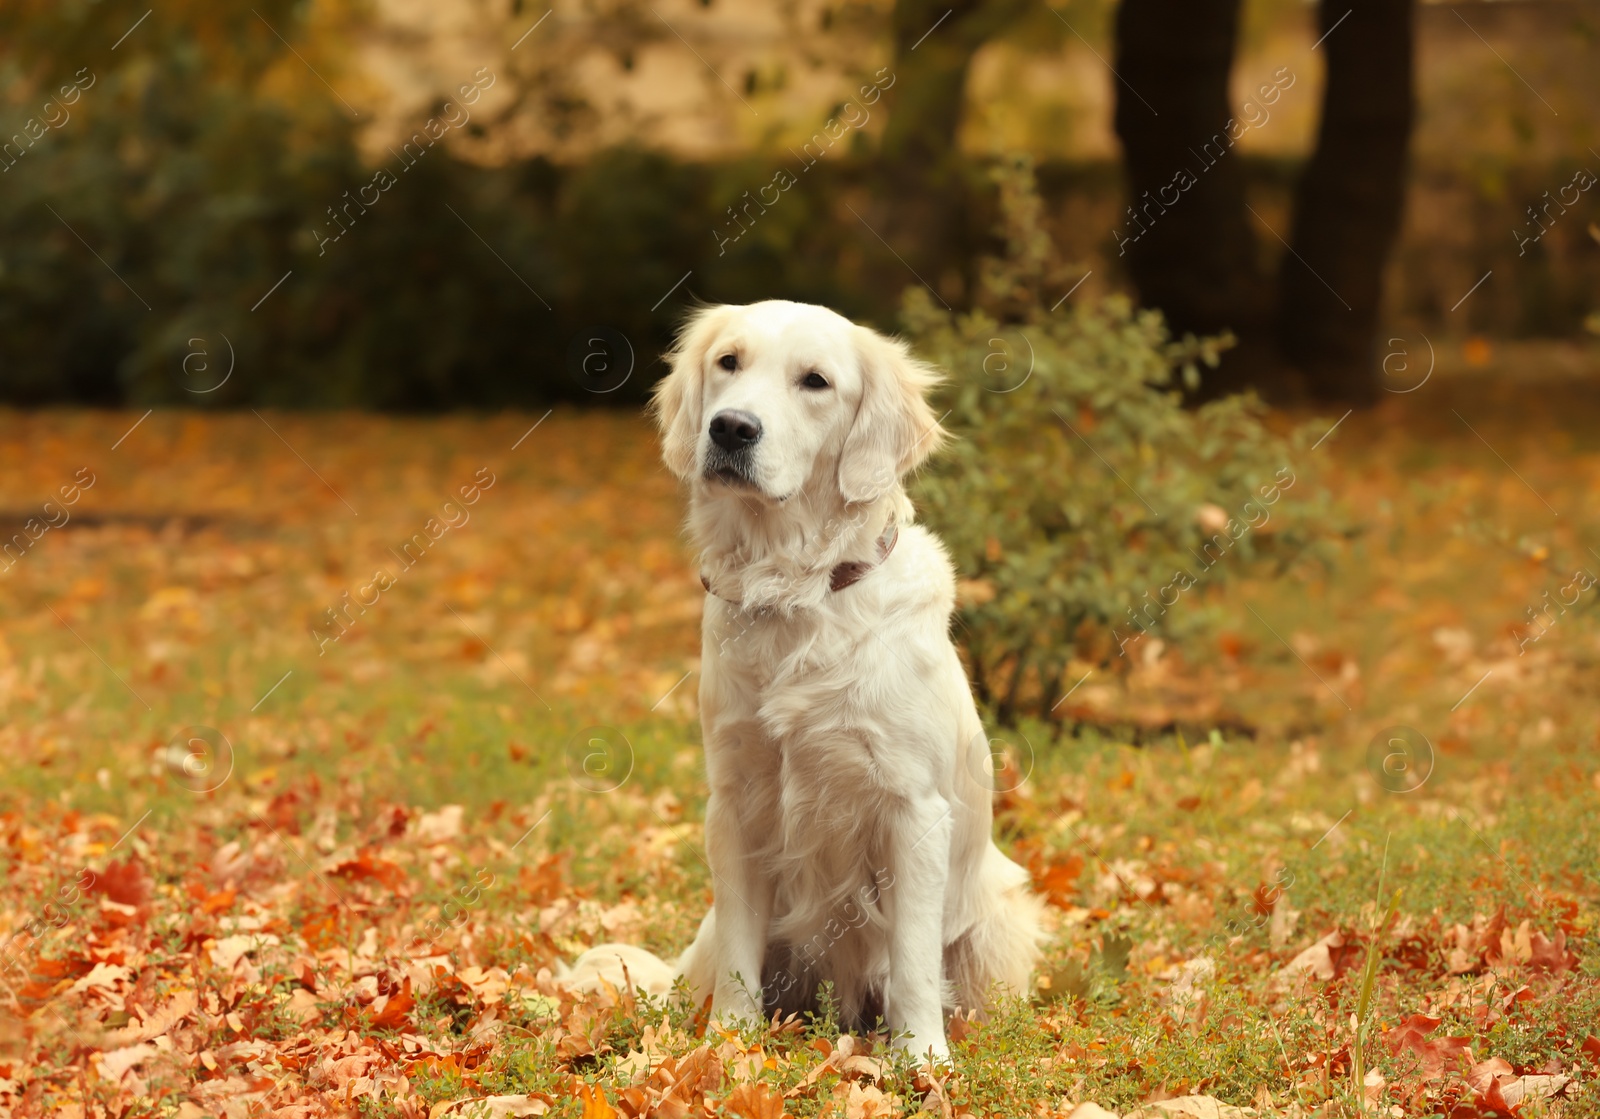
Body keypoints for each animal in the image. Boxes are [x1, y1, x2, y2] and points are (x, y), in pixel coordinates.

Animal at [569, 299, 1043, 1056]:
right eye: (728, 362)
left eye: (815, 381)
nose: (731, 427)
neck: (798, 593)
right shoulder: (736, 800)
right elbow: (741, 953)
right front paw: (728, 1044)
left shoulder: (914, 808)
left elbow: (913, 960)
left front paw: (922, 1059)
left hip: (999, 913)